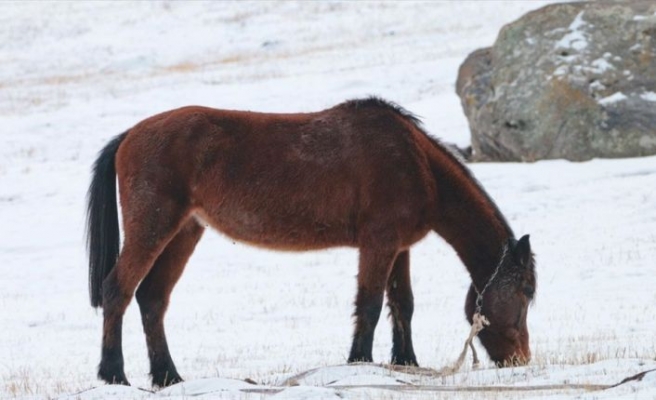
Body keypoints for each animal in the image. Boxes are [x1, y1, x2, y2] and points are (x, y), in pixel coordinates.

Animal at [87, 97, 536, 388]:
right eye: (527, 291)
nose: (521, 360)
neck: (417, 163)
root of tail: (130, 135)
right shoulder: (379, 243)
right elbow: (370, 304)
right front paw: (359, 362)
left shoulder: (400, 247)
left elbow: (402, 305)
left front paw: (405, 362)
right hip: (152, 227)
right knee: (118, 291)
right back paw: (114, 374)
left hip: (184, 232)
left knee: (152, 299)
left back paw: (168, 377)